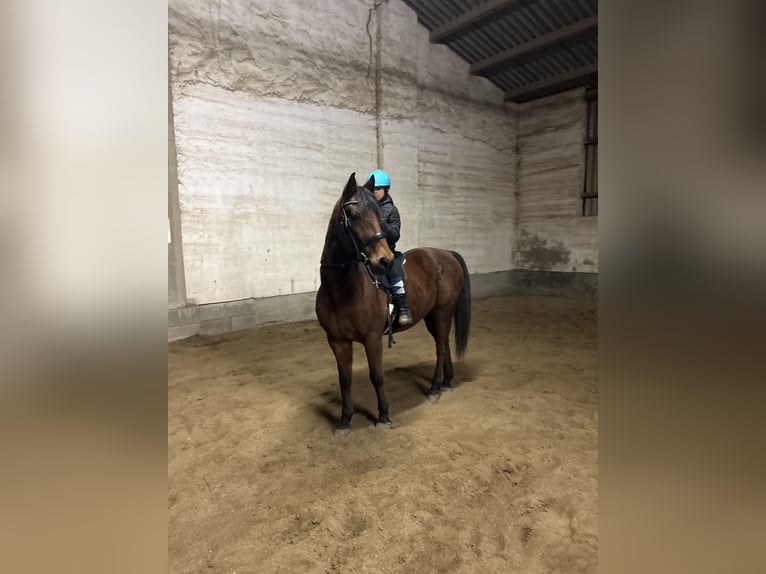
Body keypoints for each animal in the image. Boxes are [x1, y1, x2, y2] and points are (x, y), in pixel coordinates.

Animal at [315, 172, 471, 434]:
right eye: (354, 215)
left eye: (379, 216)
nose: (384, 261)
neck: (341, 291)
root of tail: (446, 253)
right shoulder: (336, 340)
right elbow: (344, 379)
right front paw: (345, 420)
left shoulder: (372, 338)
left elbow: (376, 376)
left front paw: (383, 416)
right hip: (431, 316)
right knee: (443, 344)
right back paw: (447, 382)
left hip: (443, 311)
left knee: (440, 347)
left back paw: (435, 388)